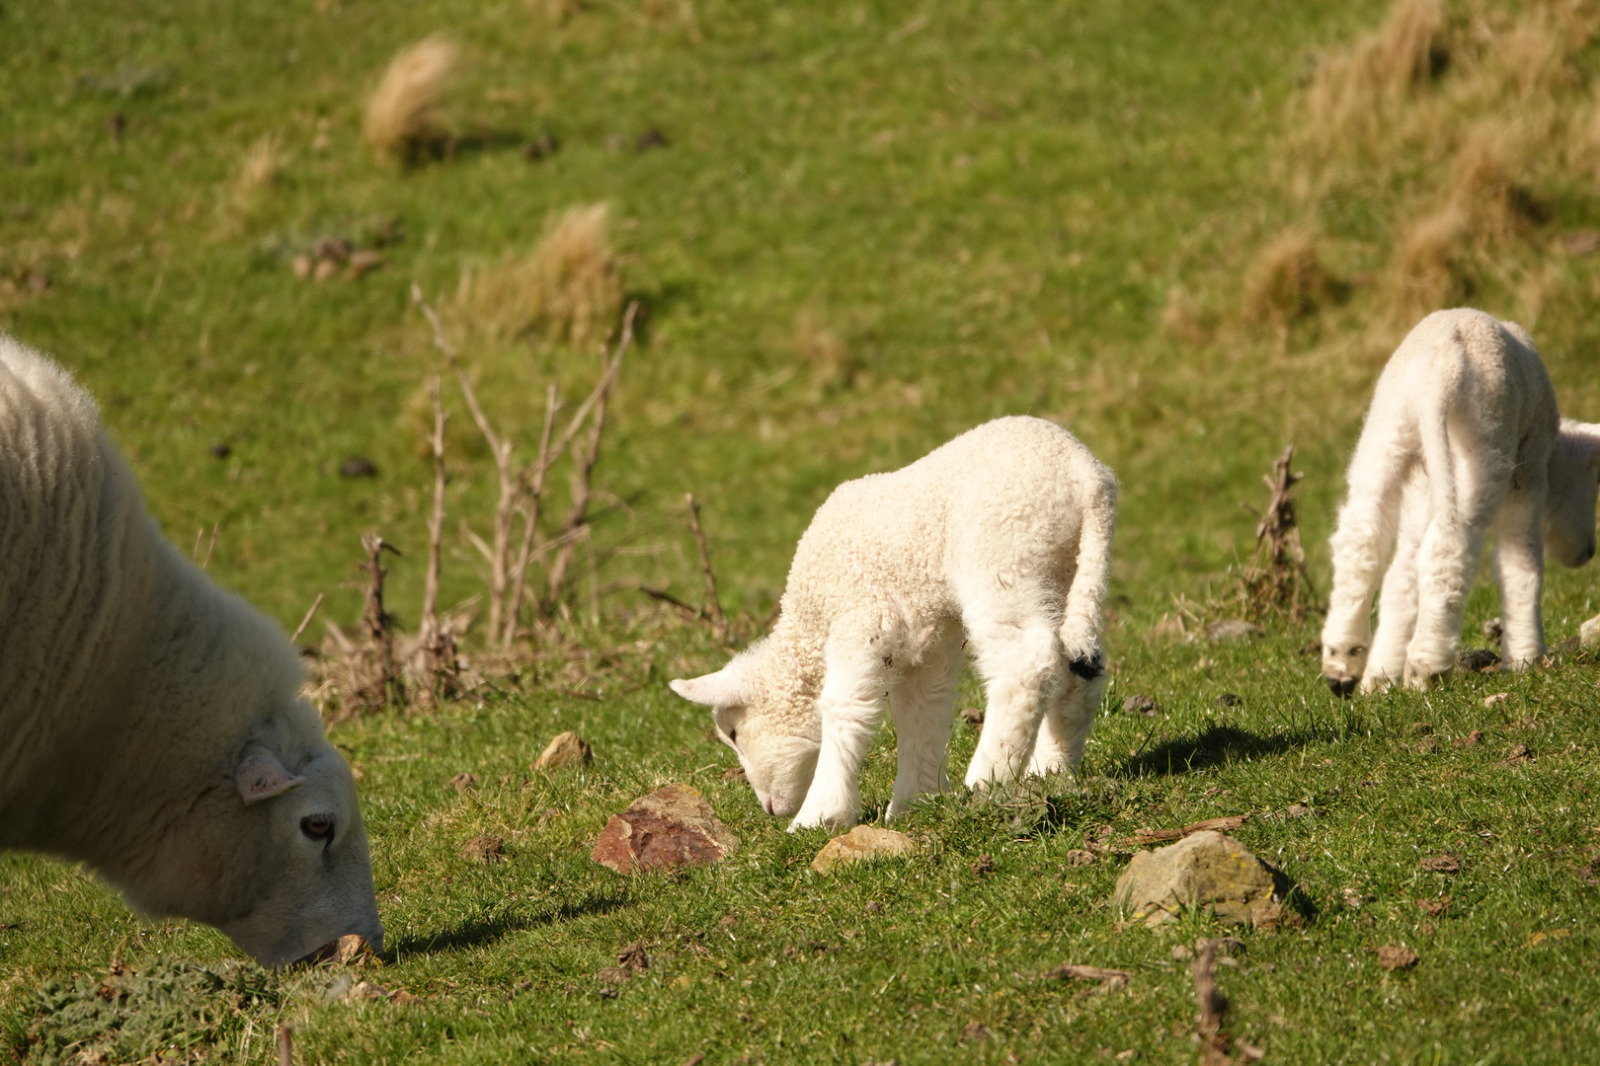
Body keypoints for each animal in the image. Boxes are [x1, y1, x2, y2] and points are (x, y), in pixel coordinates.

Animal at [670, 416, 1117, 830]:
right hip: (1065, 571)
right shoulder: (926, 639)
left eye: (733, 733)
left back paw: (985, 781)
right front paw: (914, 803)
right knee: (1080, 667)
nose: (770, 809)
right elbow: (922, 709)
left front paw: (820, 816)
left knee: (1025, 664)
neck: (810, 618)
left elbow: (844, 706)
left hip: (1003, 554)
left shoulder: (862, 618)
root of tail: (1087, 475)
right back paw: (1052, 772)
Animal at [1321, 308, 1600, 695]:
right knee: (1449, 548)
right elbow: (1521, 563)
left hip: (1387, 435)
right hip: (1481, 444)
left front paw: (1380, 675)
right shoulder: (1528, 471)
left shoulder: (1422, 487)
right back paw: (1426, 667)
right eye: (1594, 482)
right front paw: (1527, 659)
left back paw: (1343, 661)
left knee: (1362, 542)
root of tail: (1441, 366)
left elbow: (1402, 573)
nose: (1588, 552)